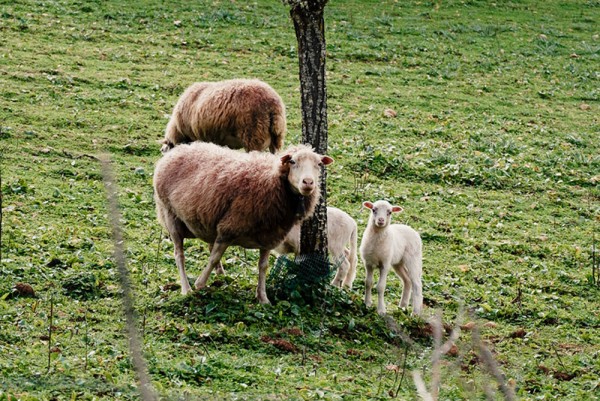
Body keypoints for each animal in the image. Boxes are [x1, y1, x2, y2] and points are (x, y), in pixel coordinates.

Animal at [154, 142, 332, 302]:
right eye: (292, 162)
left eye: (319, 164)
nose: (308, 182)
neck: (272, 181)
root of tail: (176, 150)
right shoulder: (228, 228)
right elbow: (214, 258)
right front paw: (200, 283)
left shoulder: (270, 236)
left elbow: (263, 267)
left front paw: (263, 298)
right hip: (171, 216)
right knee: (179, 255)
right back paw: (186, 288)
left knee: (207, 246)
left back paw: (220, 274)